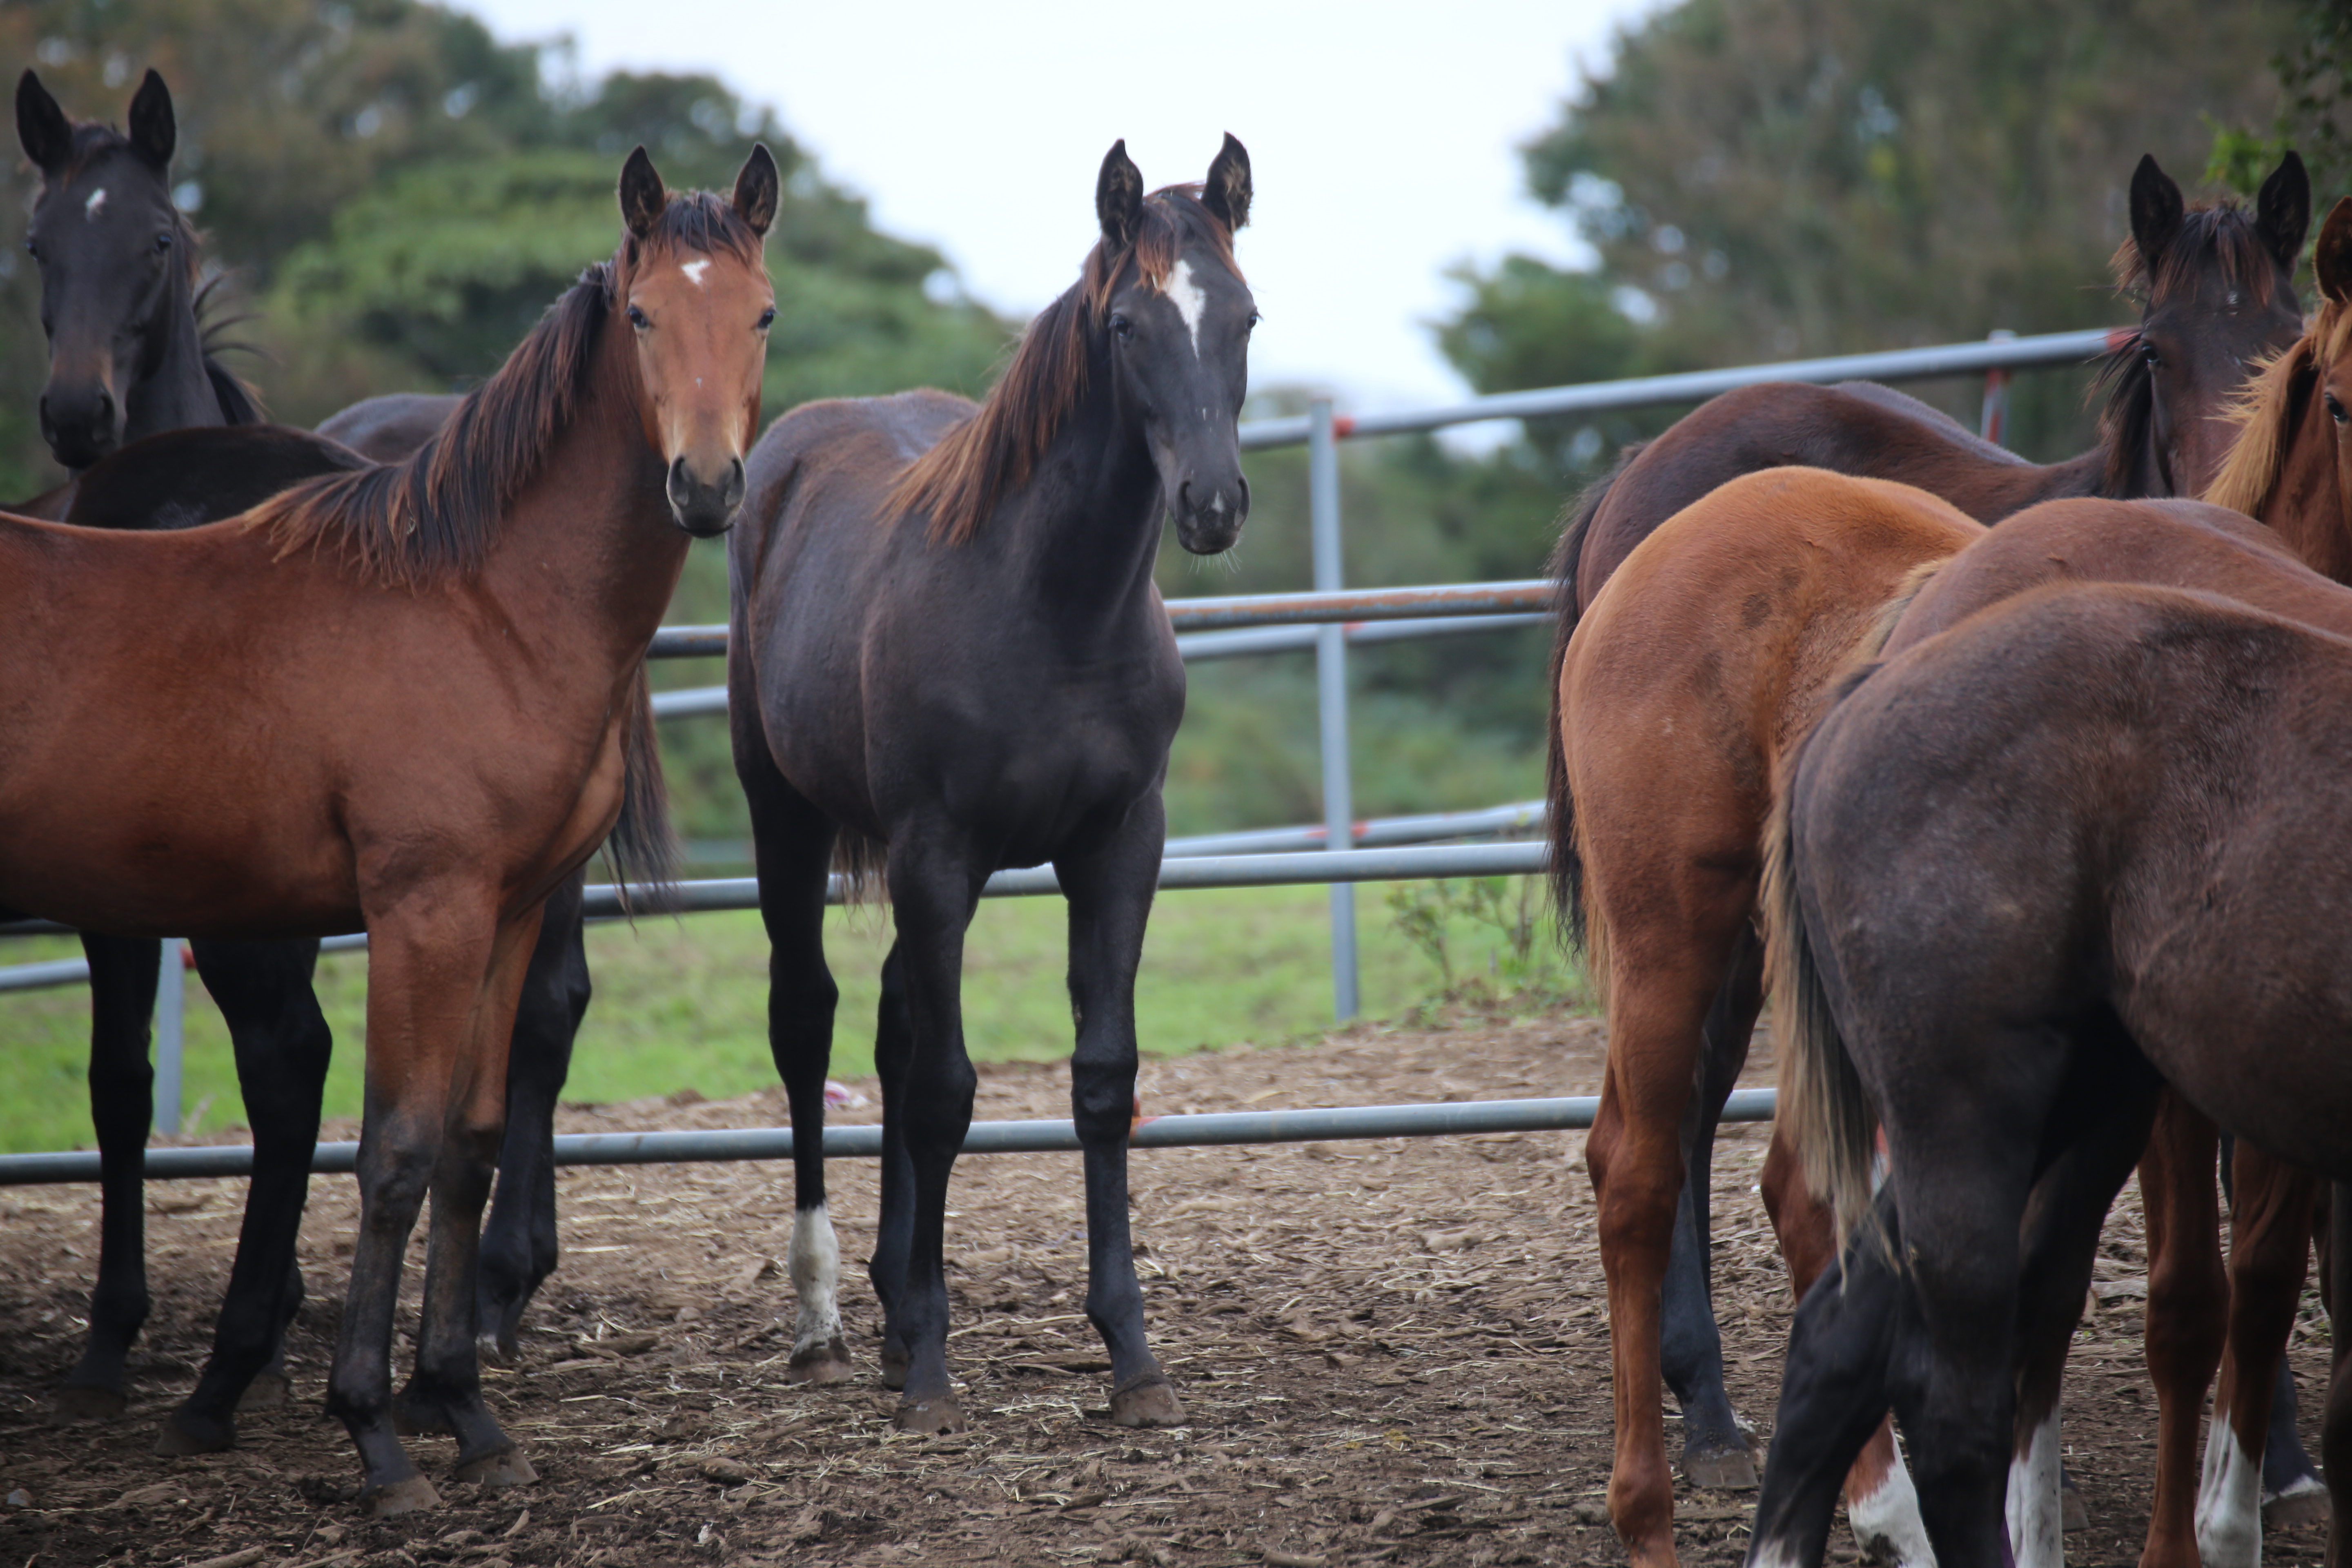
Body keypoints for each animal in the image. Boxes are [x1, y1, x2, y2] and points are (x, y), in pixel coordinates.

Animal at [0, 147, 781, 1504]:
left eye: (764, 317)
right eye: (642, 317)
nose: (704, 486)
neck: (475, 601)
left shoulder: (507, 911)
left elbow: (467, 1145)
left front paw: (464, 1408)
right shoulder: (423, 911)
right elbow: (394, 1152)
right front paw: (371, 1426)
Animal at [729, 135, 1261, 1439]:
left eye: (1245, 315)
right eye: (1126, 325)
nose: (1213, 504)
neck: (1051, 605)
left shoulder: (1118, 844)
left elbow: (1098, 1079)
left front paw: (1130, 1357)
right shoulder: (935, 852)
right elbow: (946, 1091)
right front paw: (929, 1365)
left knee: (885, 1022)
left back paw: (883, 1302)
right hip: (787, 819)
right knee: (809, 1024)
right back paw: (828, 1323)